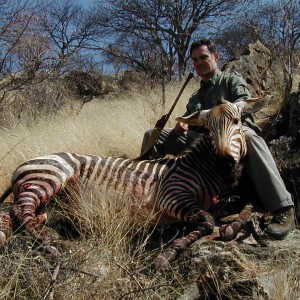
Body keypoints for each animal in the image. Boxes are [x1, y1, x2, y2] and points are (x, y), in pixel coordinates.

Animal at [0, 97, 268, 268]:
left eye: (237, 122)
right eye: (208, 131)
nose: (226, 163)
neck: (200, 168)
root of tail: (27, 162)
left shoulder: (218, 200)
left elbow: (247, 202)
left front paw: (234, 227)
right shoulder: (171, 196)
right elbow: (207, 221)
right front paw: (167, 255)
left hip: (46, 199)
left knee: (17, 213)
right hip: (50, 176)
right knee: (20, 210)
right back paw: (50, 245)